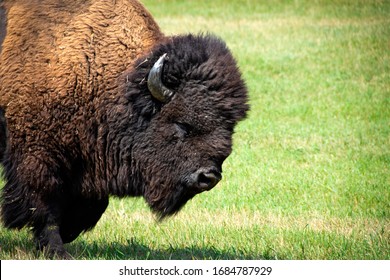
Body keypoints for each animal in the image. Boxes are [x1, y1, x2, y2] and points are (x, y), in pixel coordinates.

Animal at [0, 0, 248, 260]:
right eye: (182, 124)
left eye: (229, 129)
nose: (208, 177)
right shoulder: (37, 155)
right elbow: (44, 202)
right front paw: (57, 250)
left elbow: (94, 206)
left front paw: (68, 232)